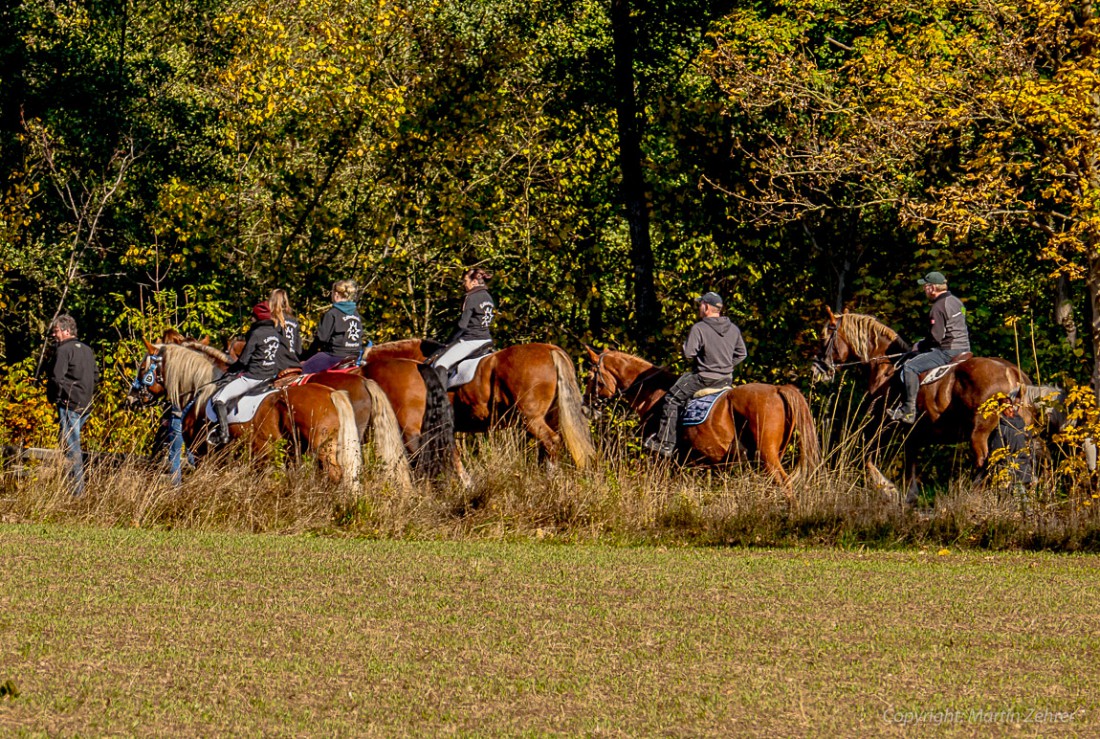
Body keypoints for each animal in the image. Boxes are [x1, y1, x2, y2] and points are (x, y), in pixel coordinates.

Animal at [130, 343, 400, 490]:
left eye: (142, 368)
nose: (131, 398)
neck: (203, 389)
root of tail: (333, 393)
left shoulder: (206, 456)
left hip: (323, 448)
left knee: (336, 475)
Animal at [580, 347, 822, 490]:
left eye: (591, 377)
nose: (585, 408)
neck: (653, 394)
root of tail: (778, 389)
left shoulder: (661, 459)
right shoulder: (686, 463)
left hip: (768, 455)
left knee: (785, 484)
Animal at [809, 303, 1029, 501]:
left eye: (823, 337)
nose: (815, 369)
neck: (886, 368)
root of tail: (1010, 371)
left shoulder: (882, 425)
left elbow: (867, 456)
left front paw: (888, 488)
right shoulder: (912, 434)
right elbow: (910, 465)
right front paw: (908, 496)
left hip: (980, 433)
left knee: (985, 463)